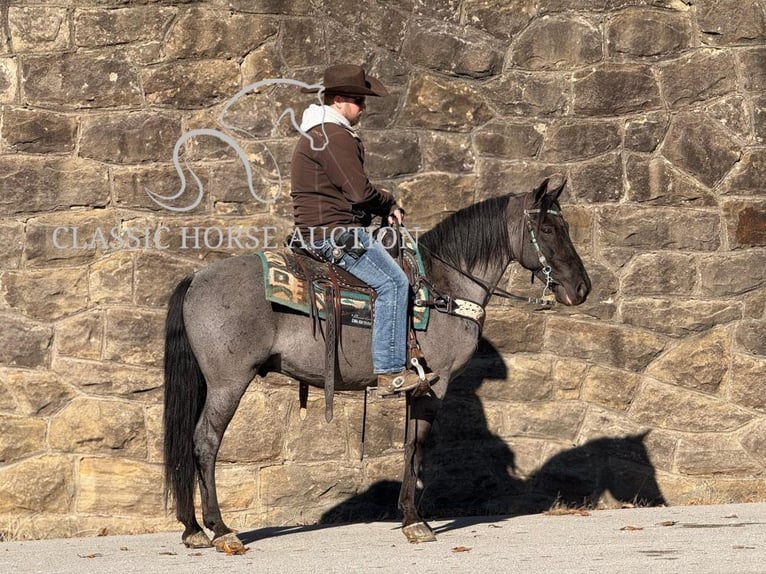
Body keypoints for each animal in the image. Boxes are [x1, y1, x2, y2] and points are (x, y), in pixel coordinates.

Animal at [164, 178, 592, 552]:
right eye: (549, 228)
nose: (582, 288)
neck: (443, 287)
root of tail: (196, 277)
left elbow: (409, 445)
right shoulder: (434, 384)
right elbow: (416, 446)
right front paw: (414, 521)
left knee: (188, 441)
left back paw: (193, 530)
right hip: (229, 382)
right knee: (205, 442)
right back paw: (222, 530)